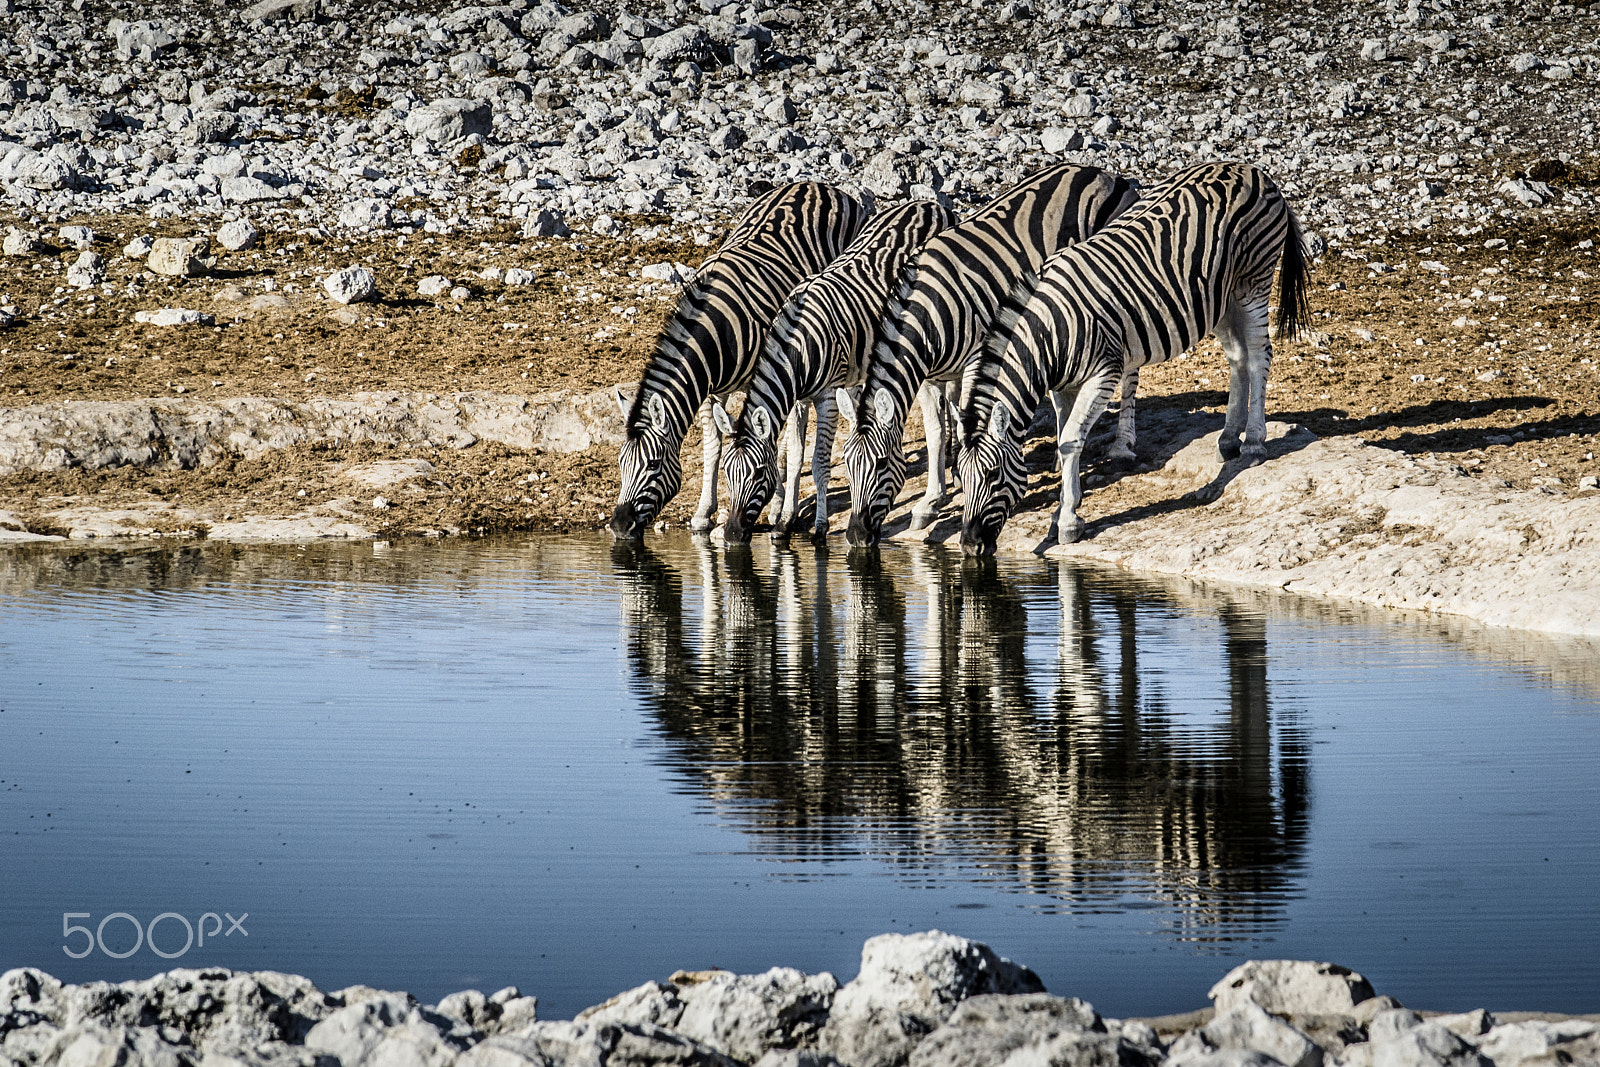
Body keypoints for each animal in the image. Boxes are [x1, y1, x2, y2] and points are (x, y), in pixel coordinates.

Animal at [609, 181, 868, 541]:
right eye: (621, 463)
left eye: (653, 465)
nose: (619, 527)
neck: (716, 330)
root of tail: (817, 184)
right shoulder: (709, 390)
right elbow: (714, 446)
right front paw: (704, 513)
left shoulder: (771, 371)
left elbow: (770, 441)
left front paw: (775, 507)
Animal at [713, 200, 957, 546]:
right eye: (726, 472)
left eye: (759, 472)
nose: (732, 535)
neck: (797, 342)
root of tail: (928, 203)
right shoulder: (799, 398)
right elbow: (796, 455)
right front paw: (784, 522)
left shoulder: (826, 397)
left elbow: (818, 463)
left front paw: (820, 527)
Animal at [836, 163, 1138, 548]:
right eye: (846, 465)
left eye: (880, 465)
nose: (855, 536)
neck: (928, 311)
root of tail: (1100, 172)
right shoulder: (929, 375)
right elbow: (935, 432)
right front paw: (930, 501)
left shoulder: (974, 360)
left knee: (1130, 370)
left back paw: (1123, 445)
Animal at [956, 160, 1312, 557]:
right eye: (960, 478)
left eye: (992, 475)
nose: (969, 546)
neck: (1049, 334)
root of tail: (1250, 169)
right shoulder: (1062, 385)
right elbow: (1065, 438)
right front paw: (1064, 511)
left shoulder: (1104, 373)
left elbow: (1070, 440)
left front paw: (1067, 522)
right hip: (1218, 295)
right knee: (1238, 357)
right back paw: (1228, 438)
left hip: (1254, 280)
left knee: (1258, 353)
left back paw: (1253, 441)